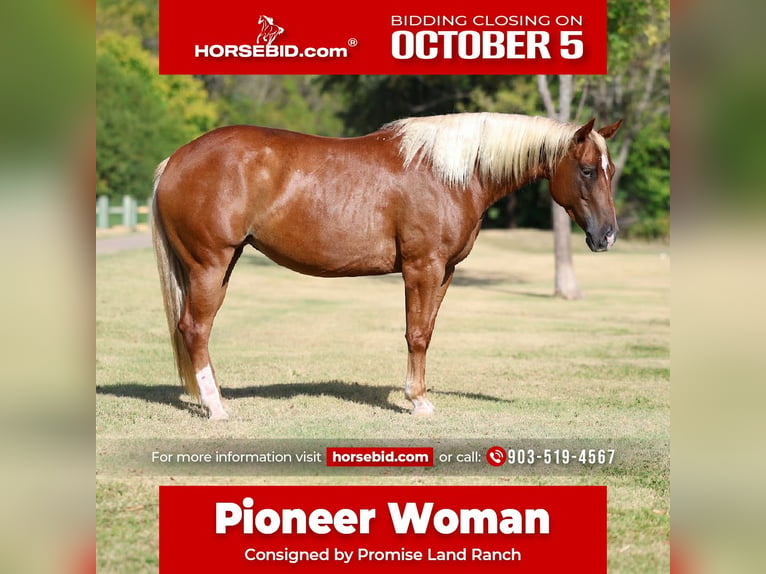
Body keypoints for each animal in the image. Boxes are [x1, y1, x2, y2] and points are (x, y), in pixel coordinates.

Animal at [151, 113, 622, 420]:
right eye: (586, 170)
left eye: (611, 169)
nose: (607, 236)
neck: (449, 173)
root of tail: (175, 159)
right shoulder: (422, 268)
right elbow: (416, 335)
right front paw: (418, 401)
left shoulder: (445, 272)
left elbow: (427, 332)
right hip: (210, 264)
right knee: (195, 329)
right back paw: (215, 408)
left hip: (220, 266)